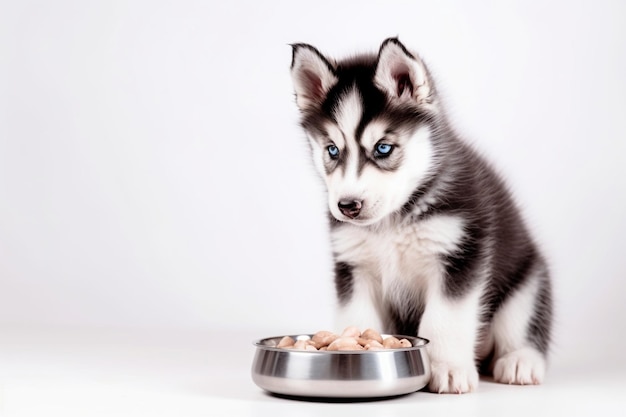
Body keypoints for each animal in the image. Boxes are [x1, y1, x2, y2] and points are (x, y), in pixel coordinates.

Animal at [288, 37, 552, 392]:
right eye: (332, 150)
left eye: (383, 148)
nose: (347, 206)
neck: (392, 222)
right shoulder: (355, 267)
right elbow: (357, 318)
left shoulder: (458, 257)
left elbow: (443, 320)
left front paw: (447, 368)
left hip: (528, 282)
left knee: (521, 328)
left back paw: (520, 360)